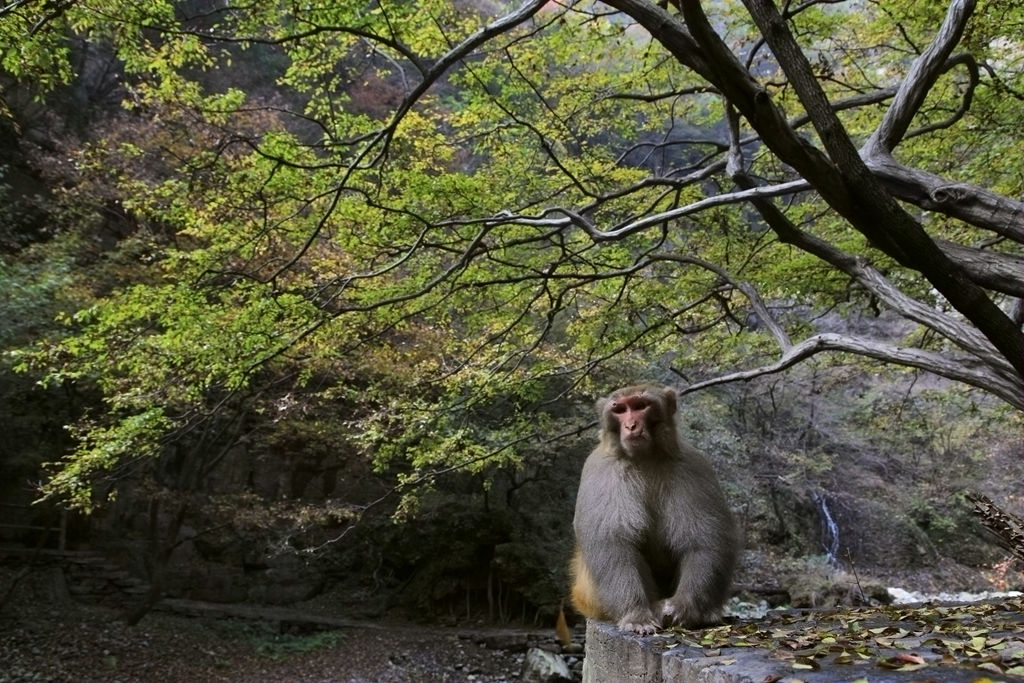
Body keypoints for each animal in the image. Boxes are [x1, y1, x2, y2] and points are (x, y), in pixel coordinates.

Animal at [573, 385, 741, 634]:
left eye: (640, 406)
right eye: (620, 410)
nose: (631, 426)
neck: (645, 457)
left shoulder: (693, 464)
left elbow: (704, 539)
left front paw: (684, 607)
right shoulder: (602, 471)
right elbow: (612, 542)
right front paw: (636, 613)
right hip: (590, 598)